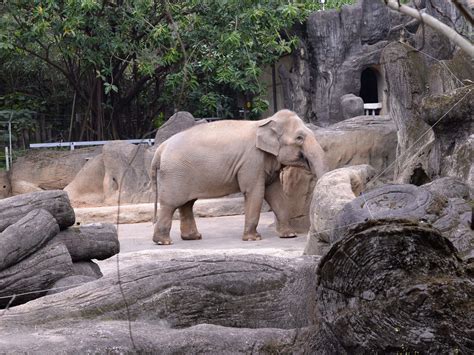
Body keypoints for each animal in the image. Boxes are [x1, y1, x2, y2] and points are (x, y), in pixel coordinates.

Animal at [150, 110, 328, 246]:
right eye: (299, 138)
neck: (265, 122)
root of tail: (160, 149)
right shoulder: (251, 161)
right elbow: (255, 192)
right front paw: (253, 239)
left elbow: (276, 194)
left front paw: (289, 235)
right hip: (174, 174)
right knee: (171, 204)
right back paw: (164, 242)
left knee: (187, 204)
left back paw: (193, 237)